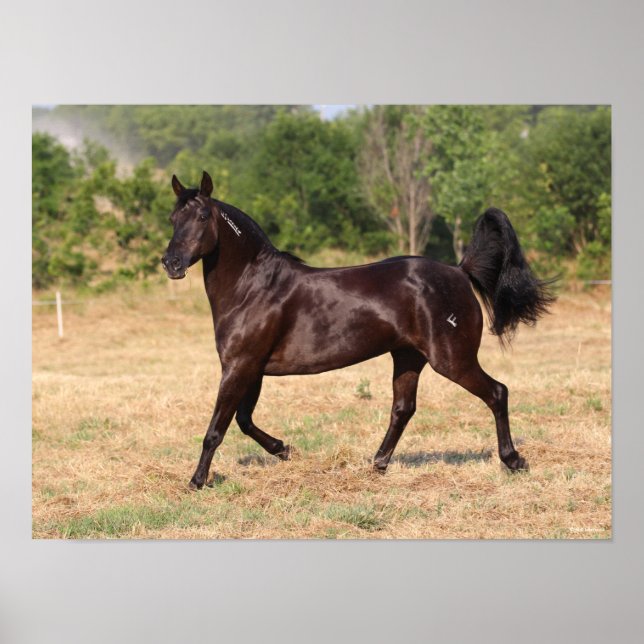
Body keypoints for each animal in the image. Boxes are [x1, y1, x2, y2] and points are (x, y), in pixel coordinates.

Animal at [162, 171, 555, 490]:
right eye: (172, 218)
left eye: (201, 216)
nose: (171, 263)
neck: (254, 287)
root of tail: (460, 272)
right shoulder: (252, 369)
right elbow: (244, 420)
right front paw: (284, 449)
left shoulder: (239, 366)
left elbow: (217, 429)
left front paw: (197, 481)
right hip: (408, 357)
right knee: (403, 408)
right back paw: (378, 464)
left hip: (451, 359)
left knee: (497, 392)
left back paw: (513, 460)